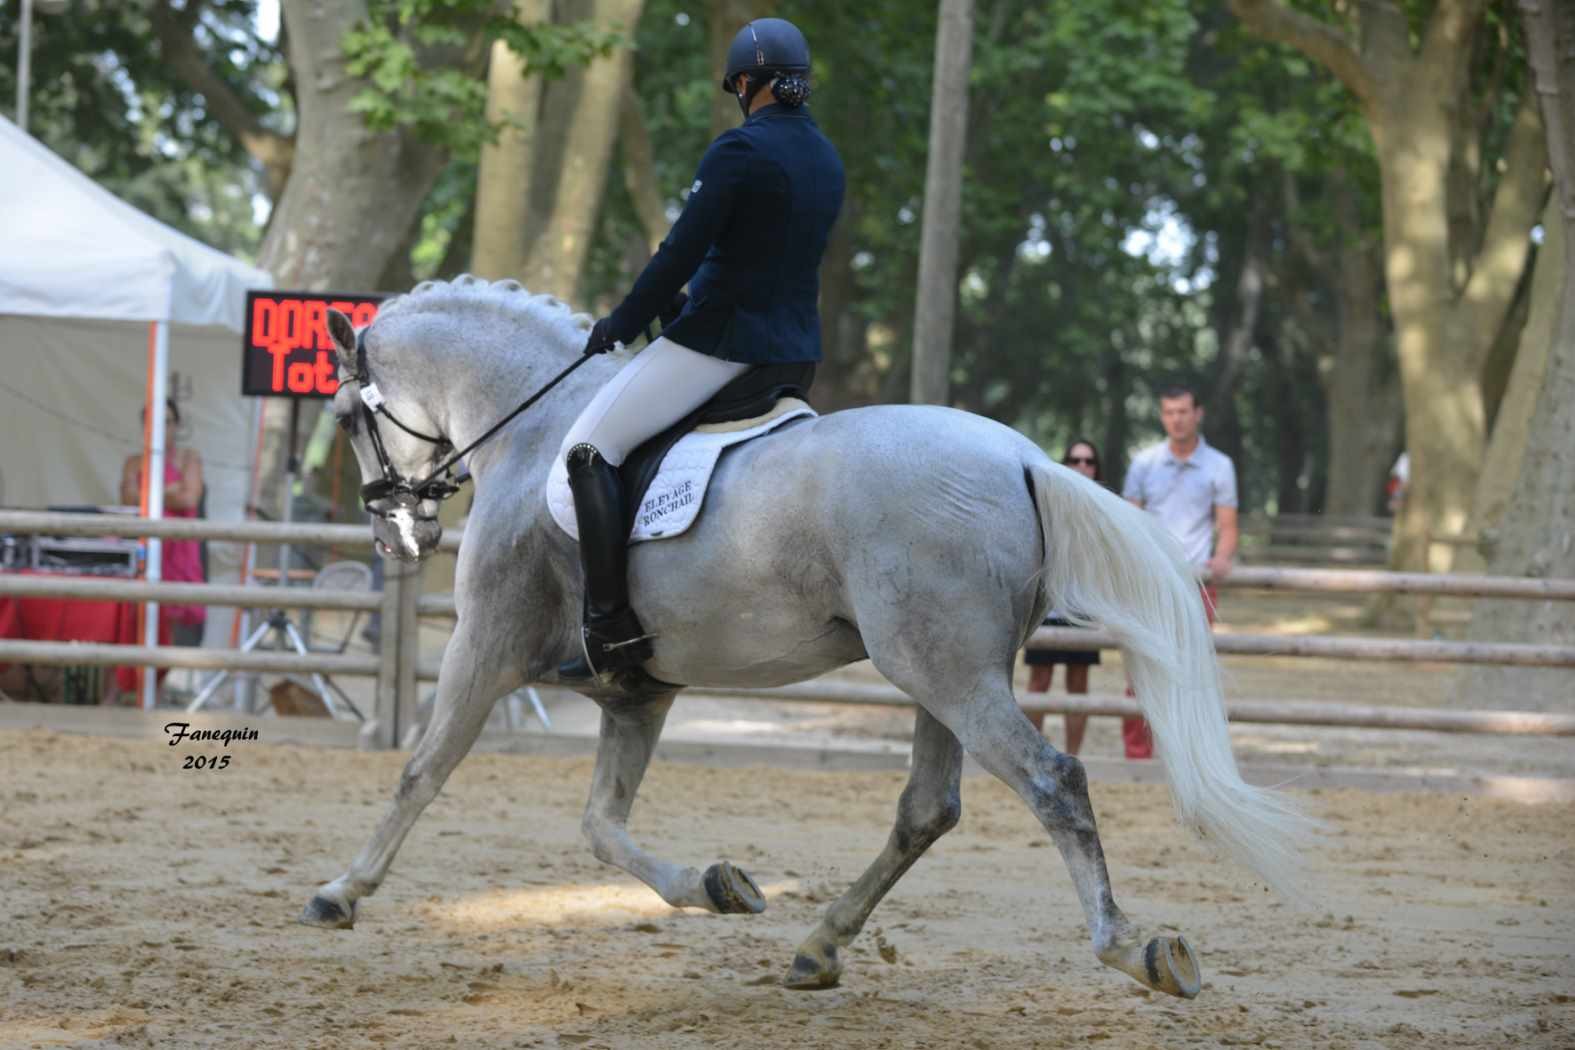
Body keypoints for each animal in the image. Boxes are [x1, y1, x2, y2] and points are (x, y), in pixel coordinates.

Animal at [300, 278, 1310, 1001]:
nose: (398, 536)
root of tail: (1023, 457)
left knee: (1050, 782)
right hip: (945, 674)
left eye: (346, 418)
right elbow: (599, 825)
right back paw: (817, 946)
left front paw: (341, 892)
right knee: (927, 809)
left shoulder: (486, 644)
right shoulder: (639, 691)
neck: (535, 424)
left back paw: (1132, 948)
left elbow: (421, 769)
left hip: (945, 670)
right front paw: (715, 884)